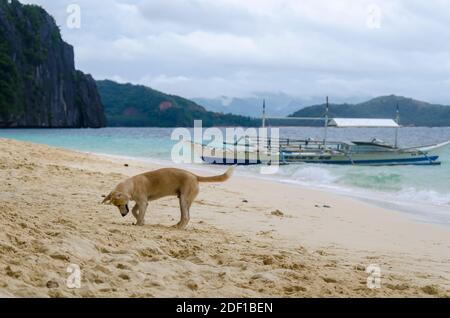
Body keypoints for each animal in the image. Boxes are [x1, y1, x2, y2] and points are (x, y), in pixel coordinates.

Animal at [102, 166, 236, 229]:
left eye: (119, 205)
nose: (123, 215)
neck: (132, 184)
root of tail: (195, 176)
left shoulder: (143, 203)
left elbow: (138, 214)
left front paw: (139, 223)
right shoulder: (140, 202)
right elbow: (135, 211)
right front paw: (141, 221)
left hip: (183, 200)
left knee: (186, 217)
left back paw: (179, 227)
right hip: (183, 201)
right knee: (185, 216)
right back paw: (177, 225)